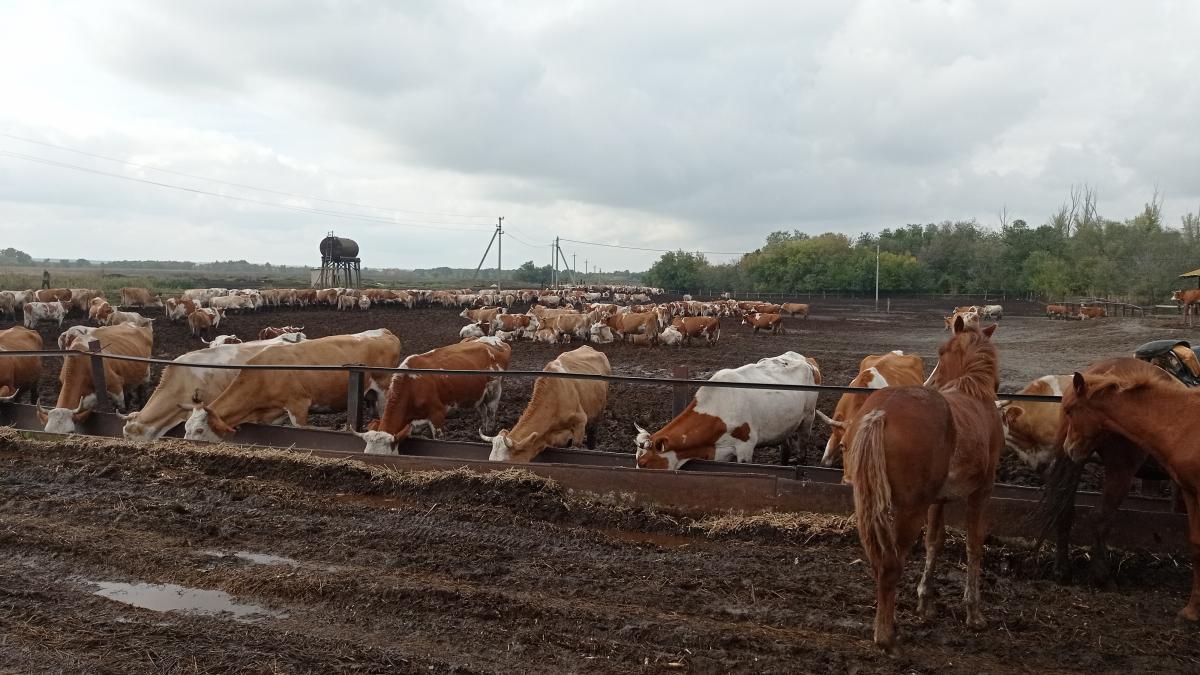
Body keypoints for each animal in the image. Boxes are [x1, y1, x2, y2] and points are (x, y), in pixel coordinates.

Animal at [350, 333, 511, 451]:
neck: (411, 385)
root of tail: (493, 340)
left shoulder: (437, 414)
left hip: (494, 393)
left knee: (491, 415)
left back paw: (488, 433)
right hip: (480, 396)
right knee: (483, 413)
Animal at [844, 314, 1003, 653]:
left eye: (942, 352)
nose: (931, 382)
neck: (974, 395)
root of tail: (882, 411)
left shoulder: (937, 500)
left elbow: (935, 542)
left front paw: (925, 603)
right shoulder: (981, 492)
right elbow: (974, 544)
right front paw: (974, 613)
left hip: (871, 505)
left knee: (880, 561)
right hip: (909, 510)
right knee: (891, 565)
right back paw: (886, 635)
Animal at [1060, 355, 1200, 619]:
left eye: (1070, 409)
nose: (1069, 449)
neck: (1180, 419)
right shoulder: (1191, 492)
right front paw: (1191, 611)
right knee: (1100, 518)